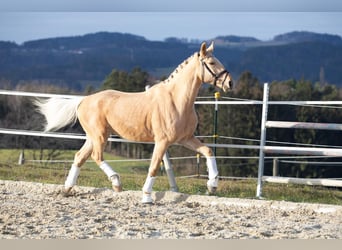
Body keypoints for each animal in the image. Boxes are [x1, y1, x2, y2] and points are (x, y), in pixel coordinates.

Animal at [35, 42, 232, 203]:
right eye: (212, 63)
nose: (229, 83)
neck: (177, 100)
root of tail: (83, 100)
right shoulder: (162, 141)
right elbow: (153, 167)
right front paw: (146, 197)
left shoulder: (185, 138)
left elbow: (208, 151)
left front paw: (212, 186)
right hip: (100, 136)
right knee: (96, 156)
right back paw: (116, 183)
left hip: (93, 137)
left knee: (79, 157)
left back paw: (68, 188)